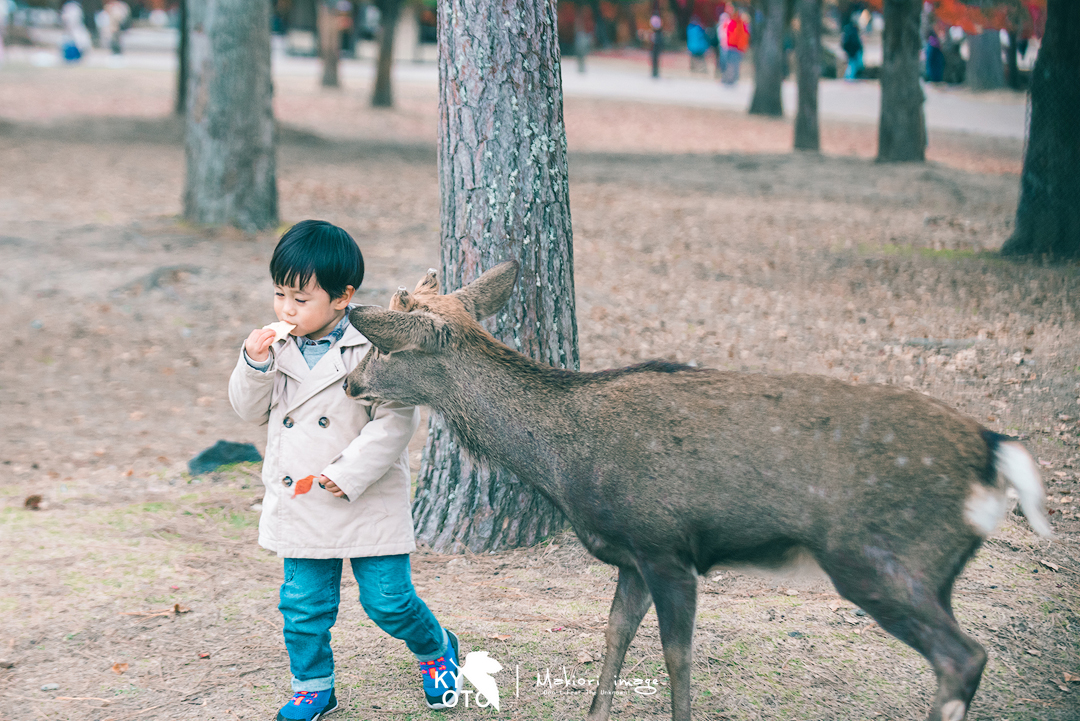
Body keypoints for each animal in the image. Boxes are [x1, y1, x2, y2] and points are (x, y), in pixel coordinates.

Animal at [341, 262, 1049, 721]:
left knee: (962, 656)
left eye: (383, 347)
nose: (349, 384)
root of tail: (994, 450)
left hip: (877, 557)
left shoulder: (667, 548)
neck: (567, 464)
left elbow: (677, 658)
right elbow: (614, 637)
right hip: (934, 568)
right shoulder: (630, 555)